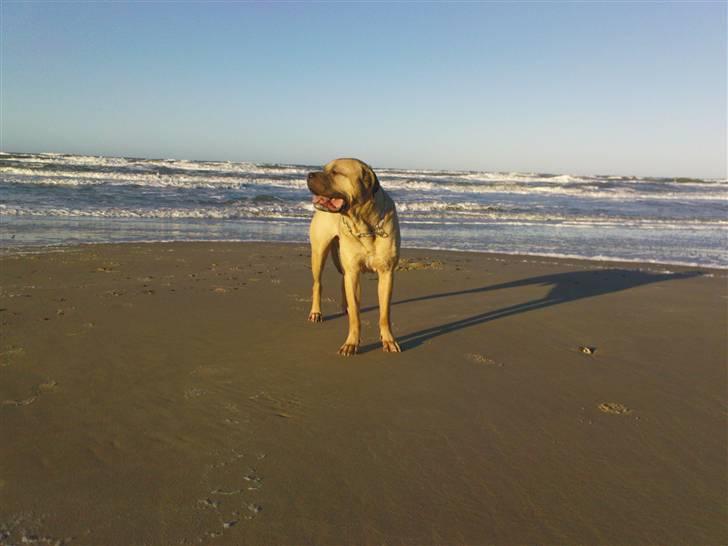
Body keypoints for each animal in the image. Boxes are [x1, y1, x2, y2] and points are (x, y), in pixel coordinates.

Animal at [304, 157, 400, 354]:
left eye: (335, 172)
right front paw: (351, 343)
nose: (309, 175)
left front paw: (388, 339)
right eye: (324, 169)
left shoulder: (386, 273)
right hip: (319, 252)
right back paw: (316, 312)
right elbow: (356, 316)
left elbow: (384, 312)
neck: (364, 223)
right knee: (318, 284)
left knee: (343, 279)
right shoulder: (354, 271)